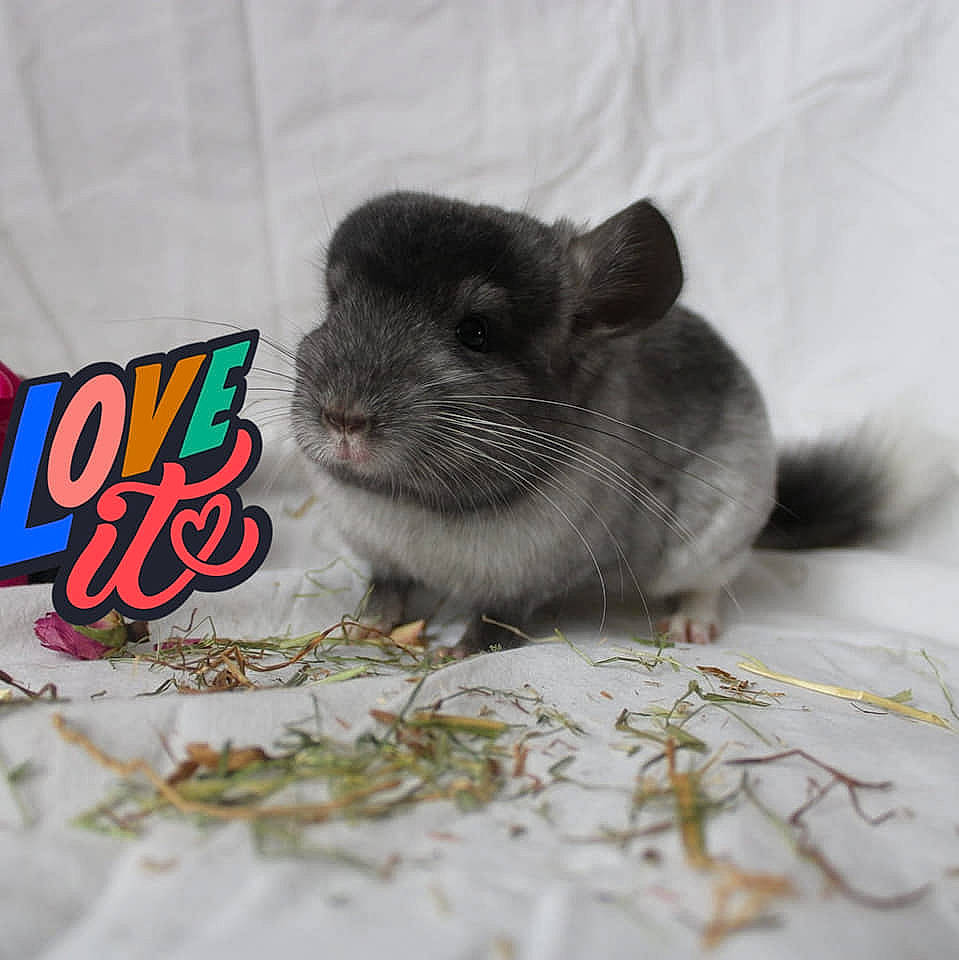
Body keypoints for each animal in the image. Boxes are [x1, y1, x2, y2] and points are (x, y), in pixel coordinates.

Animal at [291, 191, 887, 655]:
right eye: (335, 304)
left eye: (475, 332)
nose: (344, 419)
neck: (418, 502)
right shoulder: (384, 559)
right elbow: (386, 592)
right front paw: (360, 628)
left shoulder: (522, 581)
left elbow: (494, 621)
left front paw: (454, 654)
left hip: (719, 532)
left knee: (708, 584)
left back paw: (689, 625)